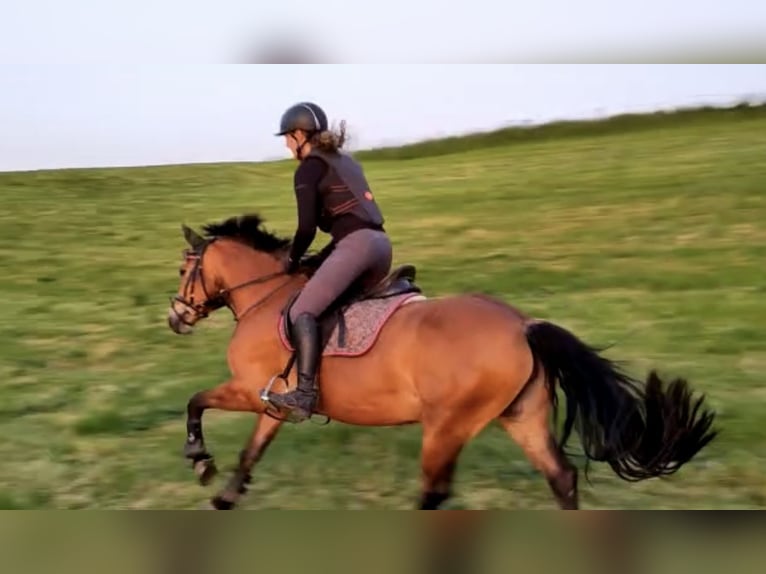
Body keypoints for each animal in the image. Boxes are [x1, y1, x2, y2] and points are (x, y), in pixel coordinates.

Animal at [167, 213, 718, 510]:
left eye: (181, 269)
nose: (175, 317)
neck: (266, 296)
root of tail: (522, 324)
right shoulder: (272, 403)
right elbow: (250, 453)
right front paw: (225, 495)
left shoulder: (247, 388)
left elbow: (194, 402)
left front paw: (199, 459)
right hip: (521, 417)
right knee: (561, 478)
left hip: (447, 426)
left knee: (434, 493)